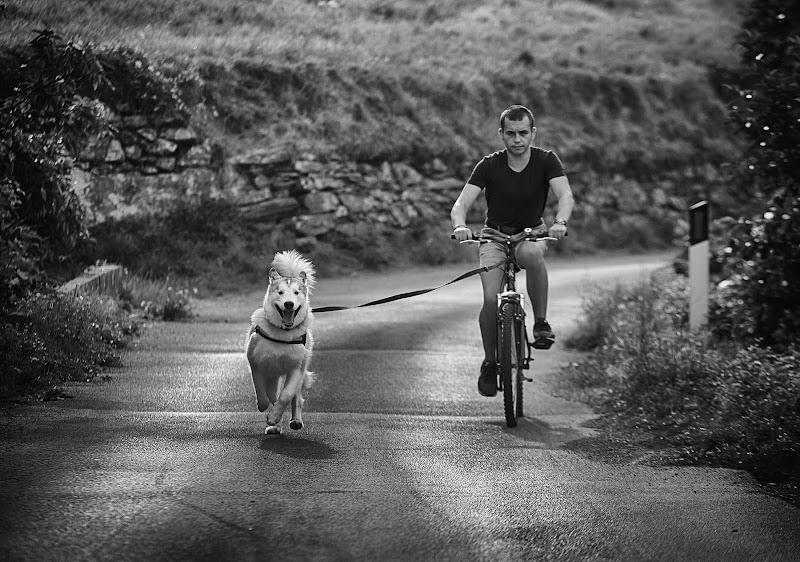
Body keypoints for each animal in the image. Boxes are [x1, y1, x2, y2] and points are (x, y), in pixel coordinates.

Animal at [247, 249, 316, 434]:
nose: (289, 304)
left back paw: (295, 420)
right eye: (280, 292)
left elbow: (285, 396)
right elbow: (262, 391)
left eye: (296, 293)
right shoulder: (257, 365)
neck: (282, 334)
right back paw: (275, 425)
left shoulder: (296, 370)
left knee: (296, 398)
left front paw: (273, 417)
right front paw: (266, 409)